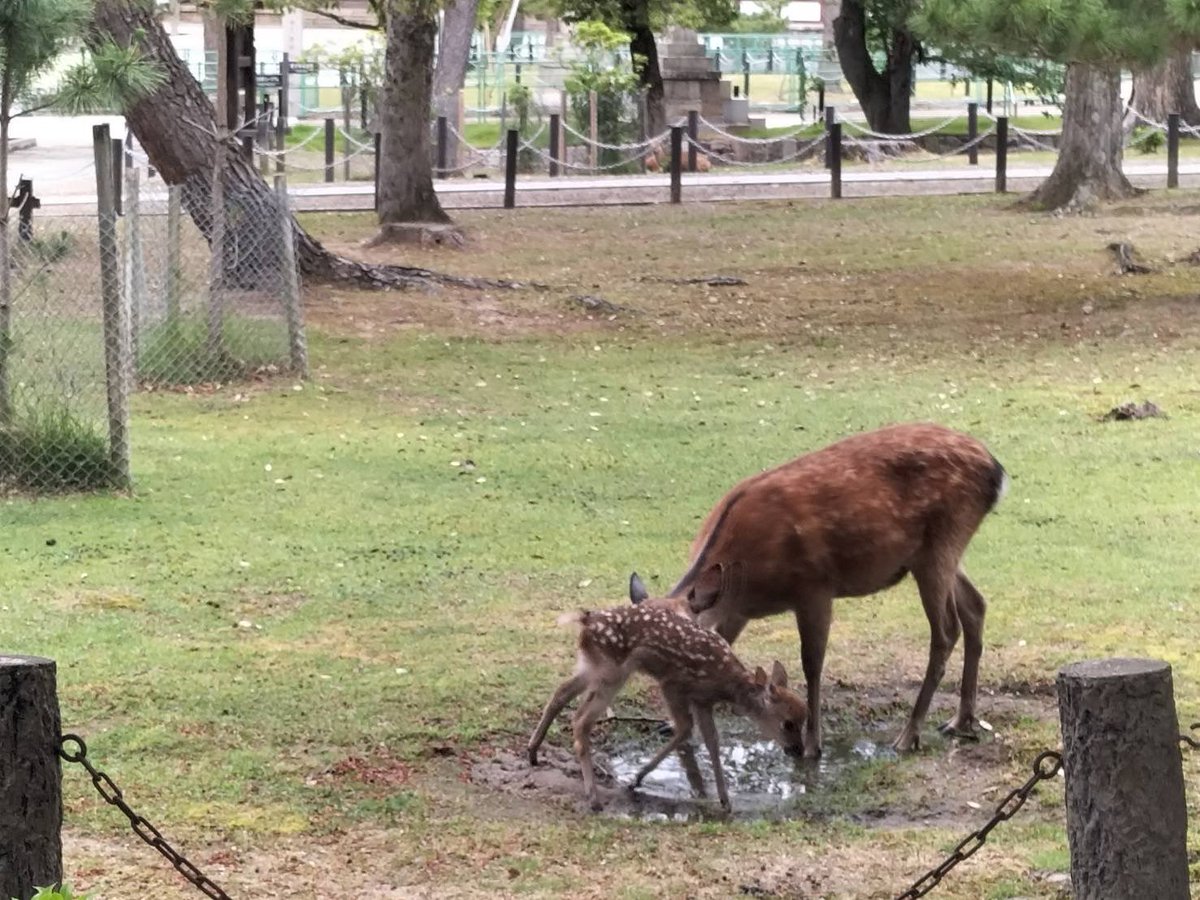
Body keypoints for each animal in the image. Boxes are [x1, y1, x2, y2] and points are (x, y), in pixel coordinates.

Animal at [526, 604, 808, 811]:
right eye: (787, 723)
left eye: (804, 719)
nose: (798, 751)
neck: (725, 683)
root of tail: (585, 620)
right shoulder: (673, 685)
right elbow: (685, 730)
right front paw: (636, 779)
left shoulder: (702, 701)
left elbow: (712, 741)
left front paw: (725, 800)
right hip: (612, 672)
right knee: (581, 720)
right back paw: (593, 798)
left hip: (592, 666)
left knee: (561, 692)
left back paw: (533, 751)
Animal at [627, 422, 1008, 759]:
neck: (746, 573)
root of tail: (996, 470)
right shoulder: (737, 609)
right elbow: (727, 643)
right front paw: (672, 723)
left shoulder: (814, 587)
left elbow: (812, 663)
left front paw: (813, 744)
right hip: (938, 554)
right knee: (976, 606)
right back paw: (961, 720)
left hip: (941, 544)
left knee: (945, 630)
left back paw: (909, 735)